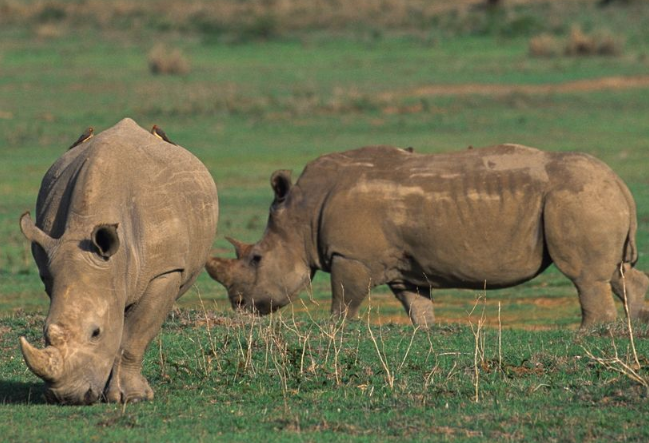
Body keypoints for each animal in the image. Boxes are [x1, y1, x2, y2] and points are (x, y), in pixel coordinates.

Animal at [19, 119, 218, 406]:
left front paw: (131, 397)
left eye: (96, 333)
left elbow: (134, 335)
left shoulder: (165, 271)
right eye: (45, 333)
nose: (68, 397)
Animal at [208, 144, 648, 328]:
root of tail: (620, 184)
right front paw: (426, 332)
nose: (239, 305)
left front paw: (333, 331)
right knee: (617, 272)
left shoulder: (351, 256)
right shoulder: (403, 266)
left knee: (586, 276)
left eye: (256, 258)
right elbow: (416, 305)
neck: (301, 212)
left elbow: (344, 301)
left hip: (578, 198)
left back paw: (585, 335)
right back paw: (635, 325)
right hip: (593, 198)